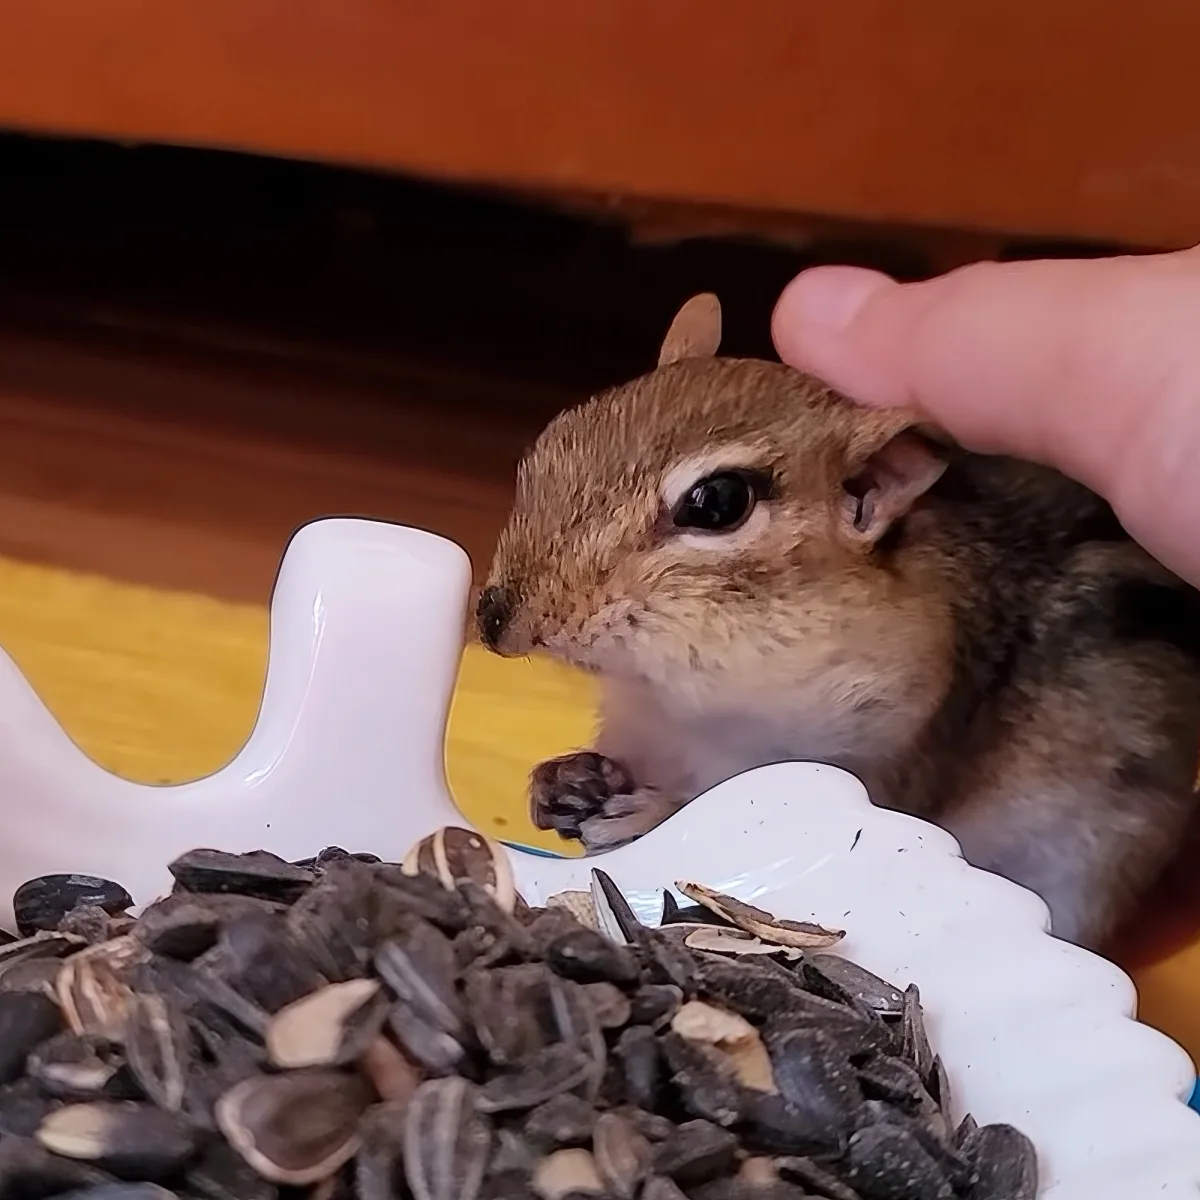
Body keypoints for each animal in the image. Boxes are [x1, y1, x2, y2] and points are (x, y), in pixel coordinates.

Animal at [476, 293, 1200, 952]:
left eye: (718, 503)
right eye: (562, 432)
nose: (491, 618)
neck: (682, 702)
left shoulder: (881, 754)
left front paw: (649, 809)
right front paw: (565, 782)